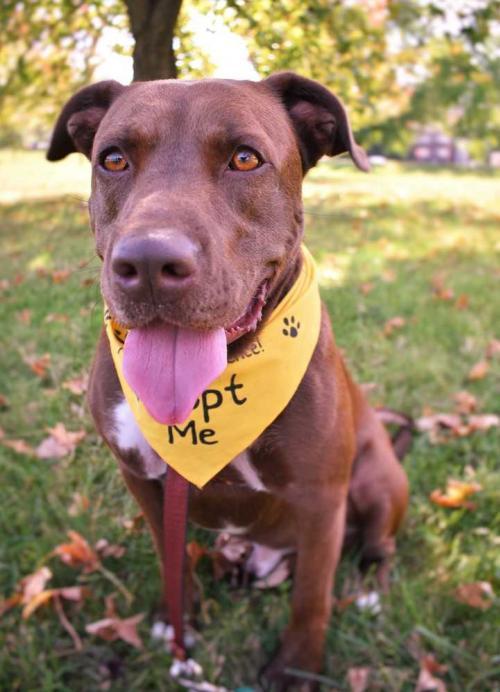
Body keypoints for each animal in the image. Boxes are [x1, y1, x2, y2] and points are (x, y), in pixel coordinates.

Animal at [47, 73, 408, 688]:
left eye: (245, 158)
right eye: (113, 158)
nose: (149, 263)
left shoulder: (321, 498)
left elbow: (313, 595)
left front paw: (297, 667)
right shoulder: (141, 479)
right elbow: (170, 557)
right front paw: (178, 621)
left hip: (379, 479)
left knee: (378, 544)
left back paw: (370, 588)